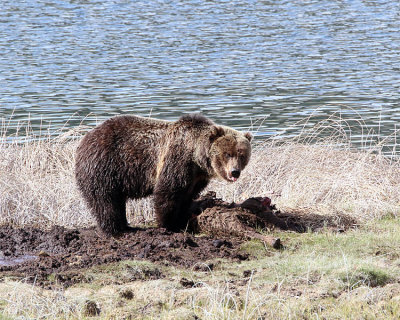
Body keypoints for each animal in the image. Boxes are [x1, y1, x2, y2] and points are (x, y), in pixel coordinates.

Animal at [74, 113, 252, 235]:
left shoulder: (196, 178)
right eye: (227, 154)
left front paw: (181, 221)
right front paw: (167, 225)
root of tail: (84, 139)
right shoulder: (176, 161)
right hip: (105, 166)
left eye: (242, 154)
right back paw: (115, 229)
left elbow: (186, 197)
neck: (196, 157)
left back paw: (124, 225)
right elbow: (167, 193)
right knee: (105, 199)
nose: (234, 172)